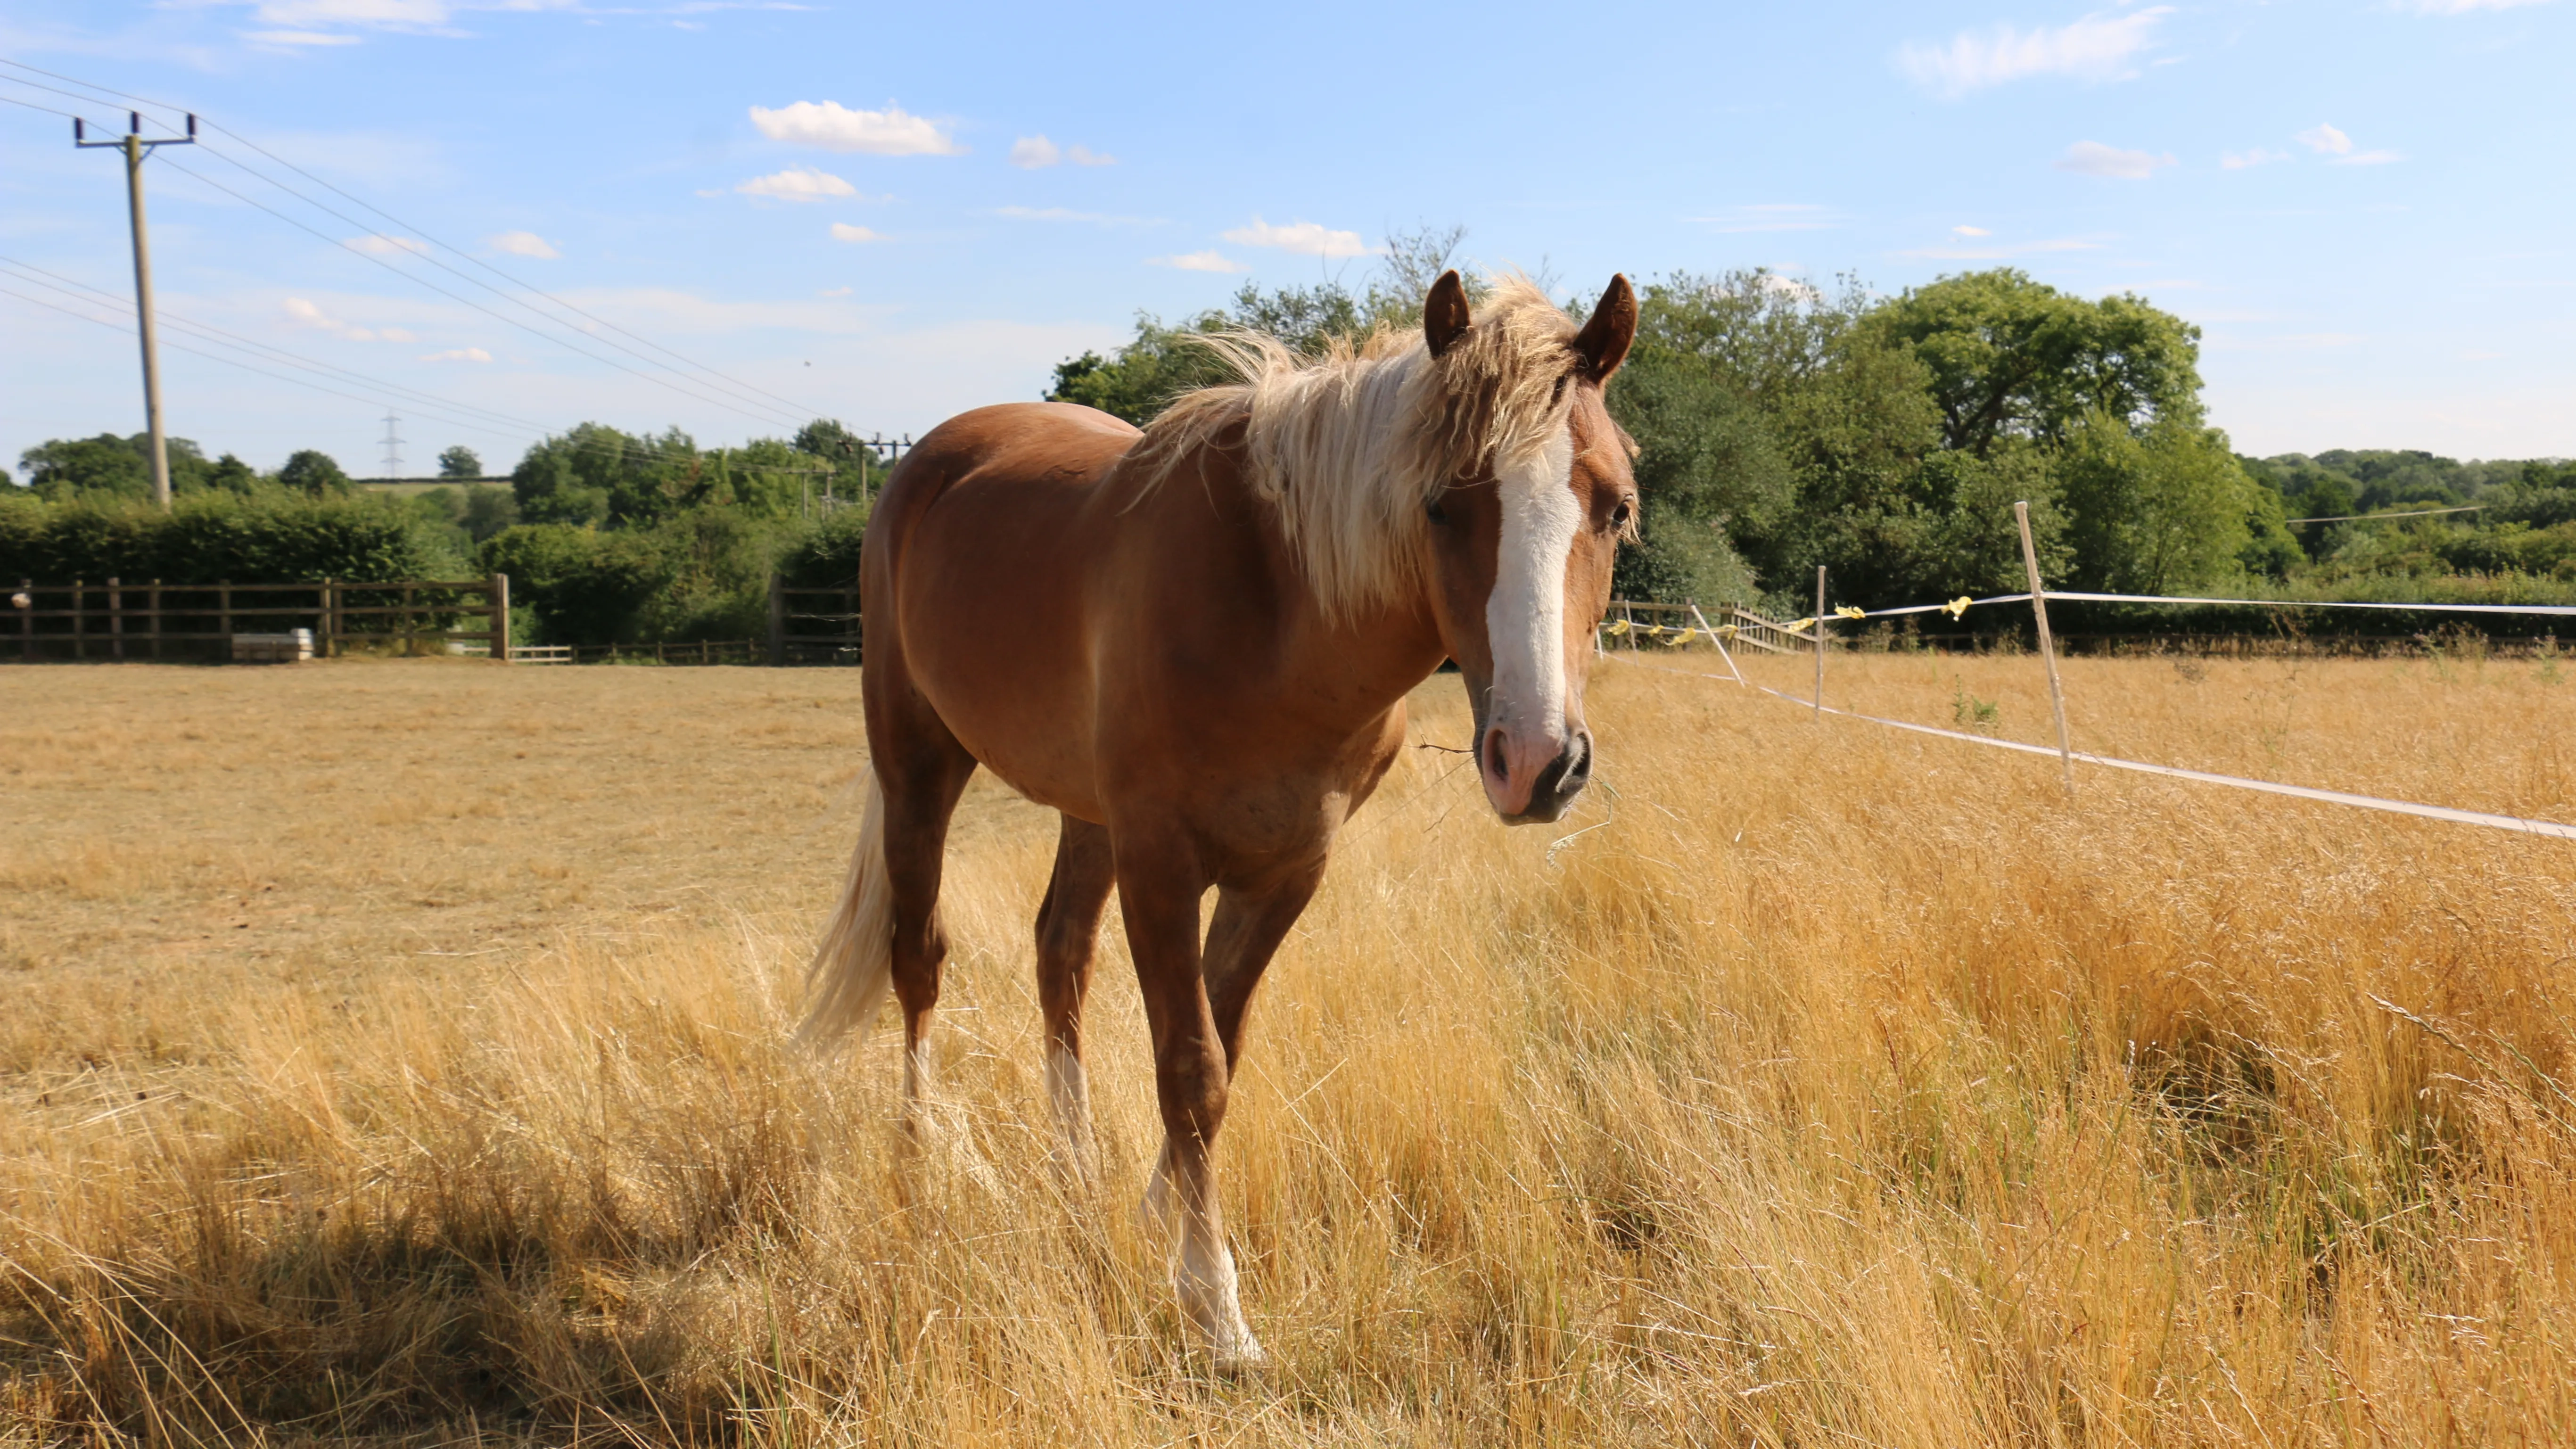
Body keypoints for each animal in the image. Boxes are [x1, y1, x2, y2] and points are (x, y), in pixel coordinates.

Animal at [799, 270, 1639, 1368]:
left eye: (1615, 506)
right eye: (1440, 504)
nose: (1538, 762)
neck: (1278, 609)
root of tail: (930, 458)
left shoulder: (1286, 867)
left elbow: (1219, 1050)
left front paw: (1154, 1218)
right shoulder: (1162, 859)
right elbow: (1190, 1067)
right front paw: (1215, 1307)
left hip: (1087, 815)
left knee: (1059, 955)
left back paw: (1072, 1166)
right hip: (918, 765)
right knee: (918, 955)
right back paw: (921, 1152)